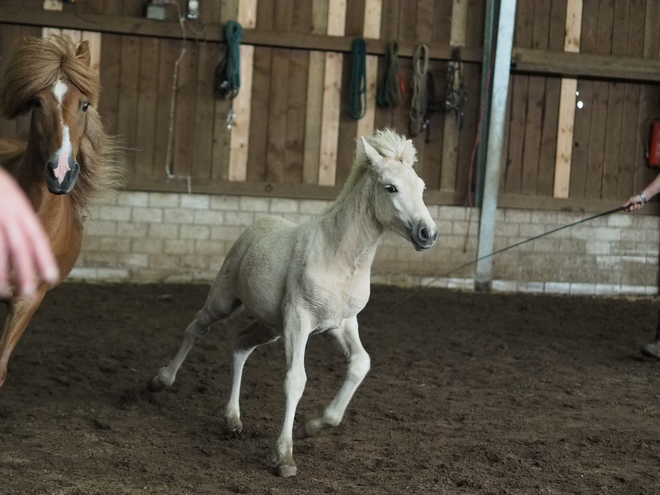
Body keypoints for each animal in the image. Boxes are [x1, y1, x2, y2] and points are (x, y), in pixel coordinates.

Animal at [150, 130, 438, 478]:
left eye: (421, 187)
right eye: (391, 187)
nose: (428, 233)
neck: (339, 257)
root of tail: (256, 226)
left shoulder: (341, 323)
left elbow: (360, 364)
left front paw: (310, 427)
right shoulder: (298, 319)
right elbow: (295, 380)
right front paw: (285, 457)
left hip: (271, 326)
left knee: (240, 345)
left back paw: (232, 420)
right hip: (226, 300)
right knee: (197, 328)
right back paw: (161, 381)